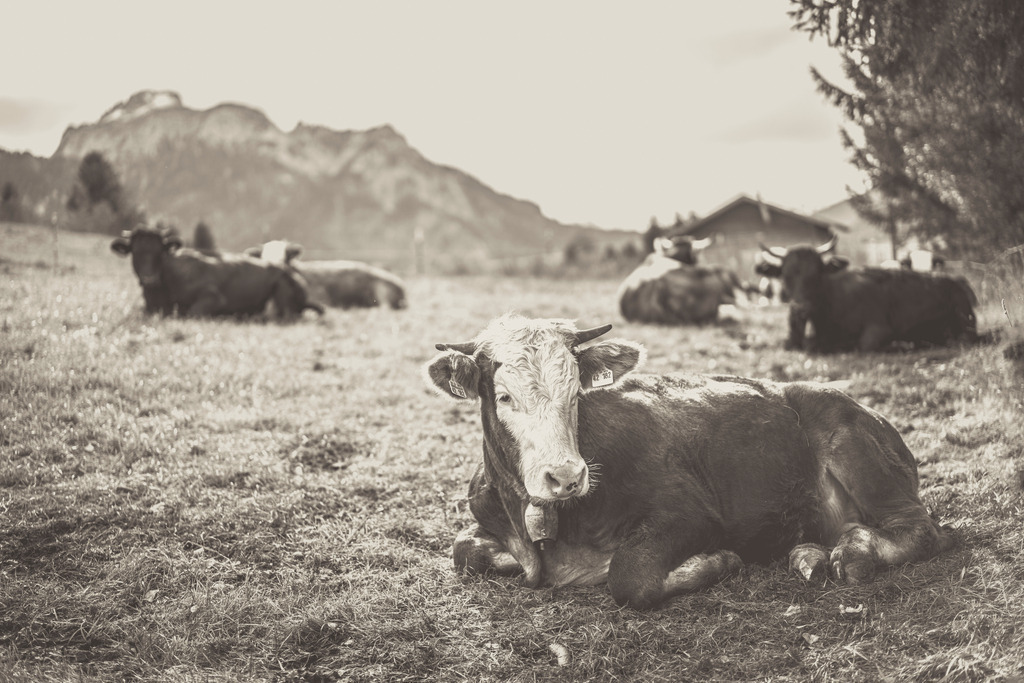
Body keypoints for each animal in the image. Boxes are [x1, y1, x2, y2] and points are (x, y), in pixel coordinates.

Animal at [423, 315, 952, 610]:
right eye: (504, 396)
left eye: (576, 393)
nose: (567, 476)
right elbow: (463, 550)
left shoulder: (690, 513)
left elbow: (629, 577)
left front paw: (717, 562)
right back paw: (811, 556)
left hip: (860, 453)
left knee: (920, 530)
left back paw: (855, 553)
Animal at [758, 236, 978, 353]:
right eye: (785, 276)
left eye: (816, 274)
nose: (800, 308)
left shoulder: (879, 328)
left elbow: (864, 343)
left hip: (964, 325)